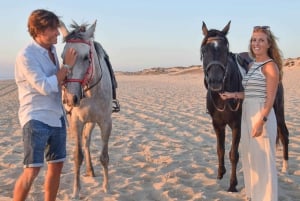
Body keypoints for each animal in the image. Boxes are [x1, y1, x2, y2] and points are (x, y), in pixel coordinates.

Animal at [59, 20, 112, 199]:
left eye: (85, 57)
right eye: (62, 57)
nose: (70, 99)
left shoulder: (105, 123)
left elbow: (104, 157)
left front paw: (107, 187)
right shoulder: (77, 121)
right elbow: (77, 156)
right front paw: (76, 190)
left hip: (92, 122)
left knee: (87, 141)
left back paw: (91, 169)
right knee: (84, 142)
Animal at [200, 21, 290, 192]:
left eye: (225, 50)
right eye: (204, 50)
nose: (215, 81)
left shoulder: (237, 125)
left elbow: (233, 154)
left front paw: (232, 185)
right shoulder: (217, 124)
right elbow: (220, 150)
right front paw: (220, 174)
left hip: (279, 110)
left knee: (284, 134)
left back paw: (285, 167)